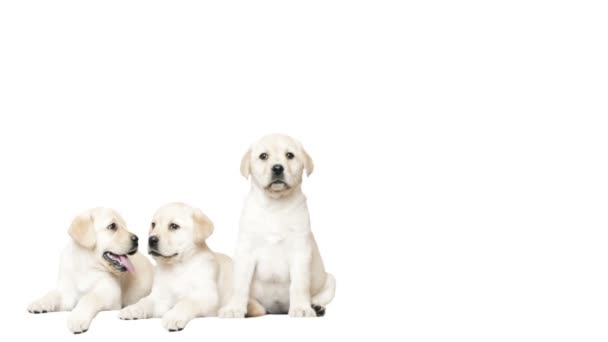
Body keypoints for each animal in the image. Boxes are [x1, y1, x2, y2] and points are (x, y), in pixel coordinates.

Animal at [26, 208, 154, 334]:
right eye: (112, 226)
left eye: (125, 226)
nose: (137, 239)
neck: (87, 266)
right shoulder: (67, 293)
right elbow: (53, 294)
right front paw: (40, 302)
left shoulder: (110, 294)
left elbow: (89, 298)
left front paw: (77, 318)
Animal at [117, 203, 262, 332]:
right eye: (153, 224)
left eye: (174, 226)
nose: (151, 240)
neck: (178, 267)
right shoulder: (159, 297)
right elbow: (144, 301)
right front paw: (133, 309)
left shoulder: (206, 295)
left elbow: (185, 302)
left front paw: (173, 317)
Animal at [218, 134, 334, 318]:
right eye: (263, 156)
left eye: (290, 155)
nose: (278, 168)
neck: (274, 206)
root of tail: (276, 310)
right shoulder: (245, 251)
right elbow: (240, 285)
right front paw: (234, 308)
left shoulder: (300, 250)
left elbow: (299, 284)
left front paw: (301, 308)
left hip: (330, 280)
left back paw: (316, 306)